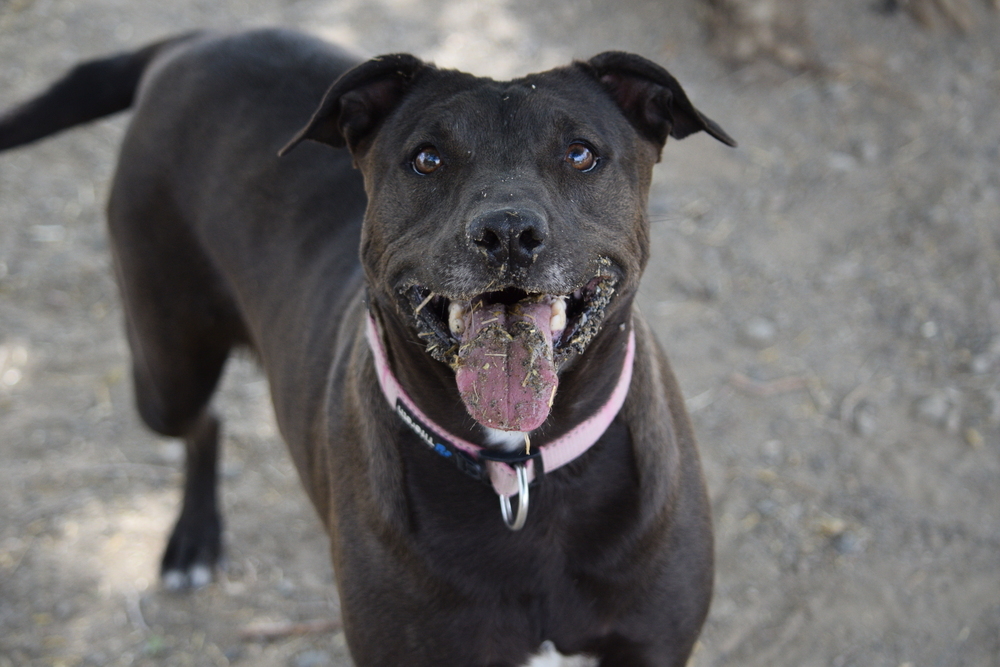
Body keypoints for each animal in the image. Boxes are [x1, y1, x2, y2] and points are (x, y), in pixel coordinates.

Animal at [0, 28, 736, 664]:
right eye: (427, 158)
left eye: (581, 153)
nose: (507, 232)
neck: (521, 469)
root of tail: (196, 39)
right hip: (167, 367)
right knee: (201, 420)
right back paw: (194, 541)